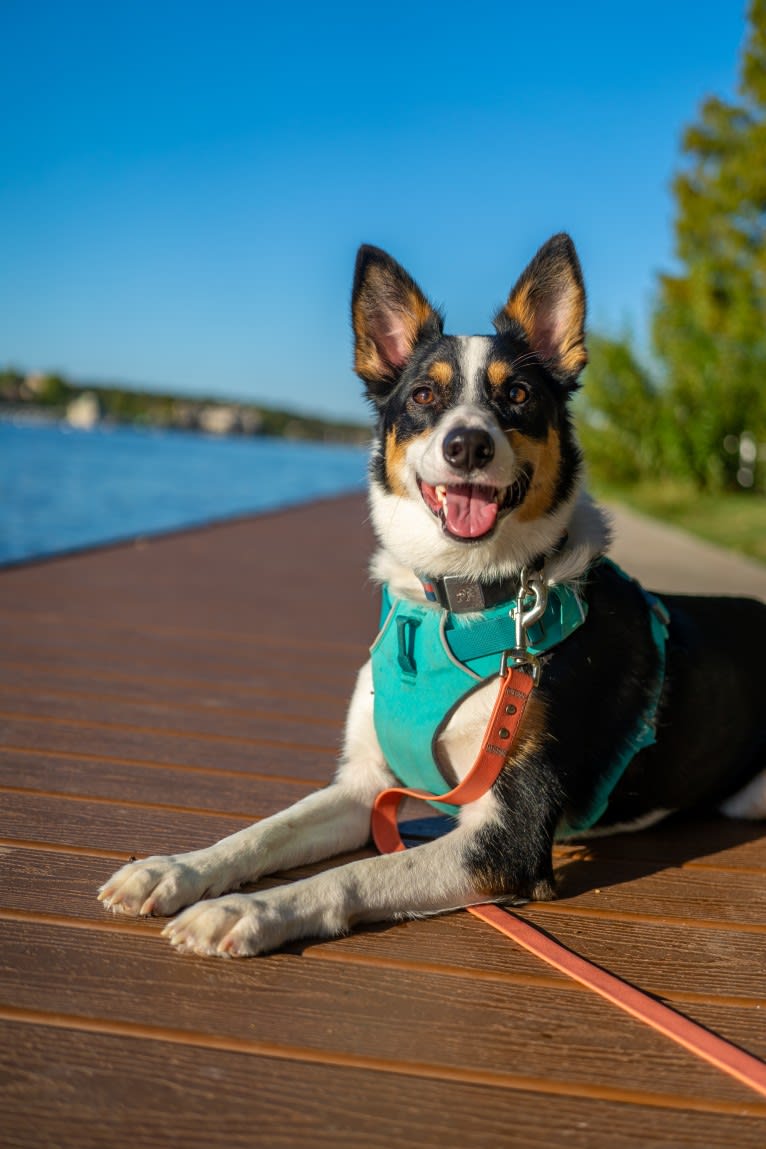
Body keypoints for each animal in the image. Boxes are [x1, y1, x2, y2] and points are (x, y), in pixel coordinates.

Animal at [97, 235, 766, 960]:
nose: (467, 444)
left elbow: (354, 873)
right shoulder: (363, 786)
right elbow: (266, 830)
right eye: (422, 394)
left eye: (518, 394)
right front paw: (176, 869)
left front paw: (245, 909)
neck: (463, 603)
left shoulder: (508, 838)